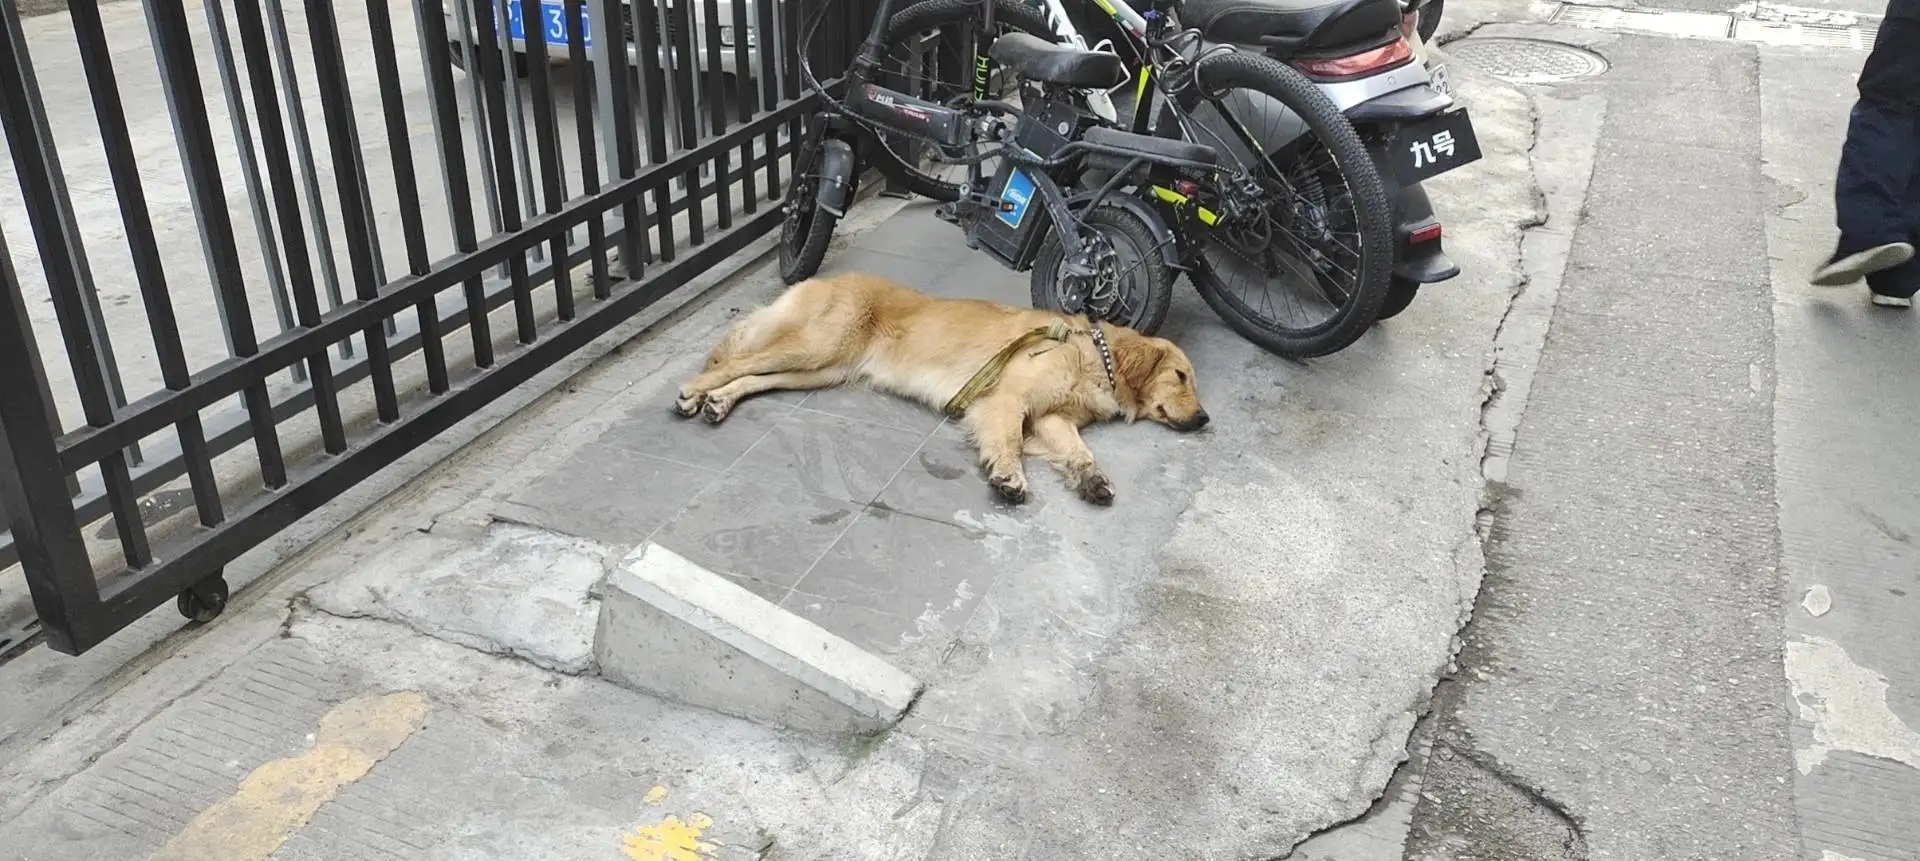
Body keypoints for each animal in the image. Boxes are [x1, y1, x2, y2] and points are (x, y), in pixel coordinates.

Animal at [675, 274, 1205, 503]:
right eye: (1182, 377)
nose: (1204, 419)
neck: (1093, 354)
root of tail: (825, 276)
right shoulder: (1008, 401)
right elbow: (1008, 442)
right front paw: (1008, 477)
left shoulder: (1052, 418)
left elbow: (1079, 452)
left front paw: (1092, 479)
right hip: (815, 346)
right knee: (735, 361)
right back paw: (694, 392)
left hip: (821, 369)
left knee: (751, 376)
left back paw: (718, 402)